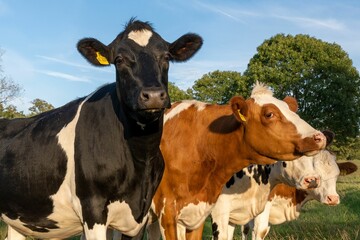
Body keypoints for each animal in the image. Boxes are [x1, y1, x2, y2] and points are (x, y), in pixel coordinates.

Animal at [0, 19, 202, 240]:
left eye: (166, 57)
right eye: (119, 59)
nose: (154, 95)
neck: (141, 159)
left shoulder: (141, 216)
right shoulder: (93, 208)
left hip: (18, 218)